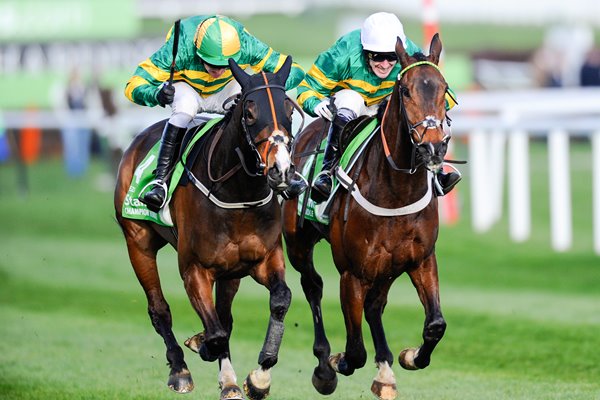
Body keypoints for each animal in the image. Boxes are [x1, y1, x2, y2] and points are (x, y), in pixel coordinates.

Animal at [284, 35, 452, 400]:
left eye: (444, 89)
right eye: (406, 91)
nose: (433, 147)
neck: (396, 190)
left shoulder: (420, 259)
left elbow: (435, 325)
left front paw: (410, 356)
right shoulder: (352, 271)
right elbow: (355, 350)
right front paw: (337, 362)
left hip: (388, 264)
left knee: (375, 304)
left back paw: (386, 368)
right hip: (298, 244)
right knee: (312, 286)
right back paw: (324, 366)